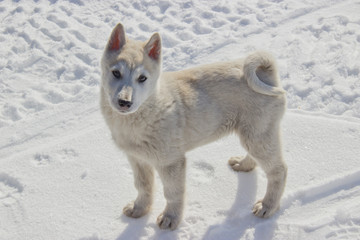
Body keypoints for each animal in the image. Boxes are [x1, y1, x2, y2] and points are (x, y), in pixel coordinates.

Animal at [100, 23, 288, 231]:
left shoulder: (171, 162)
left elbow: (173, 192)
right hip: (252, 134)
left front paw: (170, 218)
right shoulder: (137, 159)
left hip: (258, 135)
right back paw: (243, 164)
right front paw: (139, 209)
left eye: (142, 78)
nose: (124, 102)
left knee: (279, 170)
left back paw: (267, 206)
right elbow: (143, 186)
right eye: (116, 73)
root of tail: (266, 72)